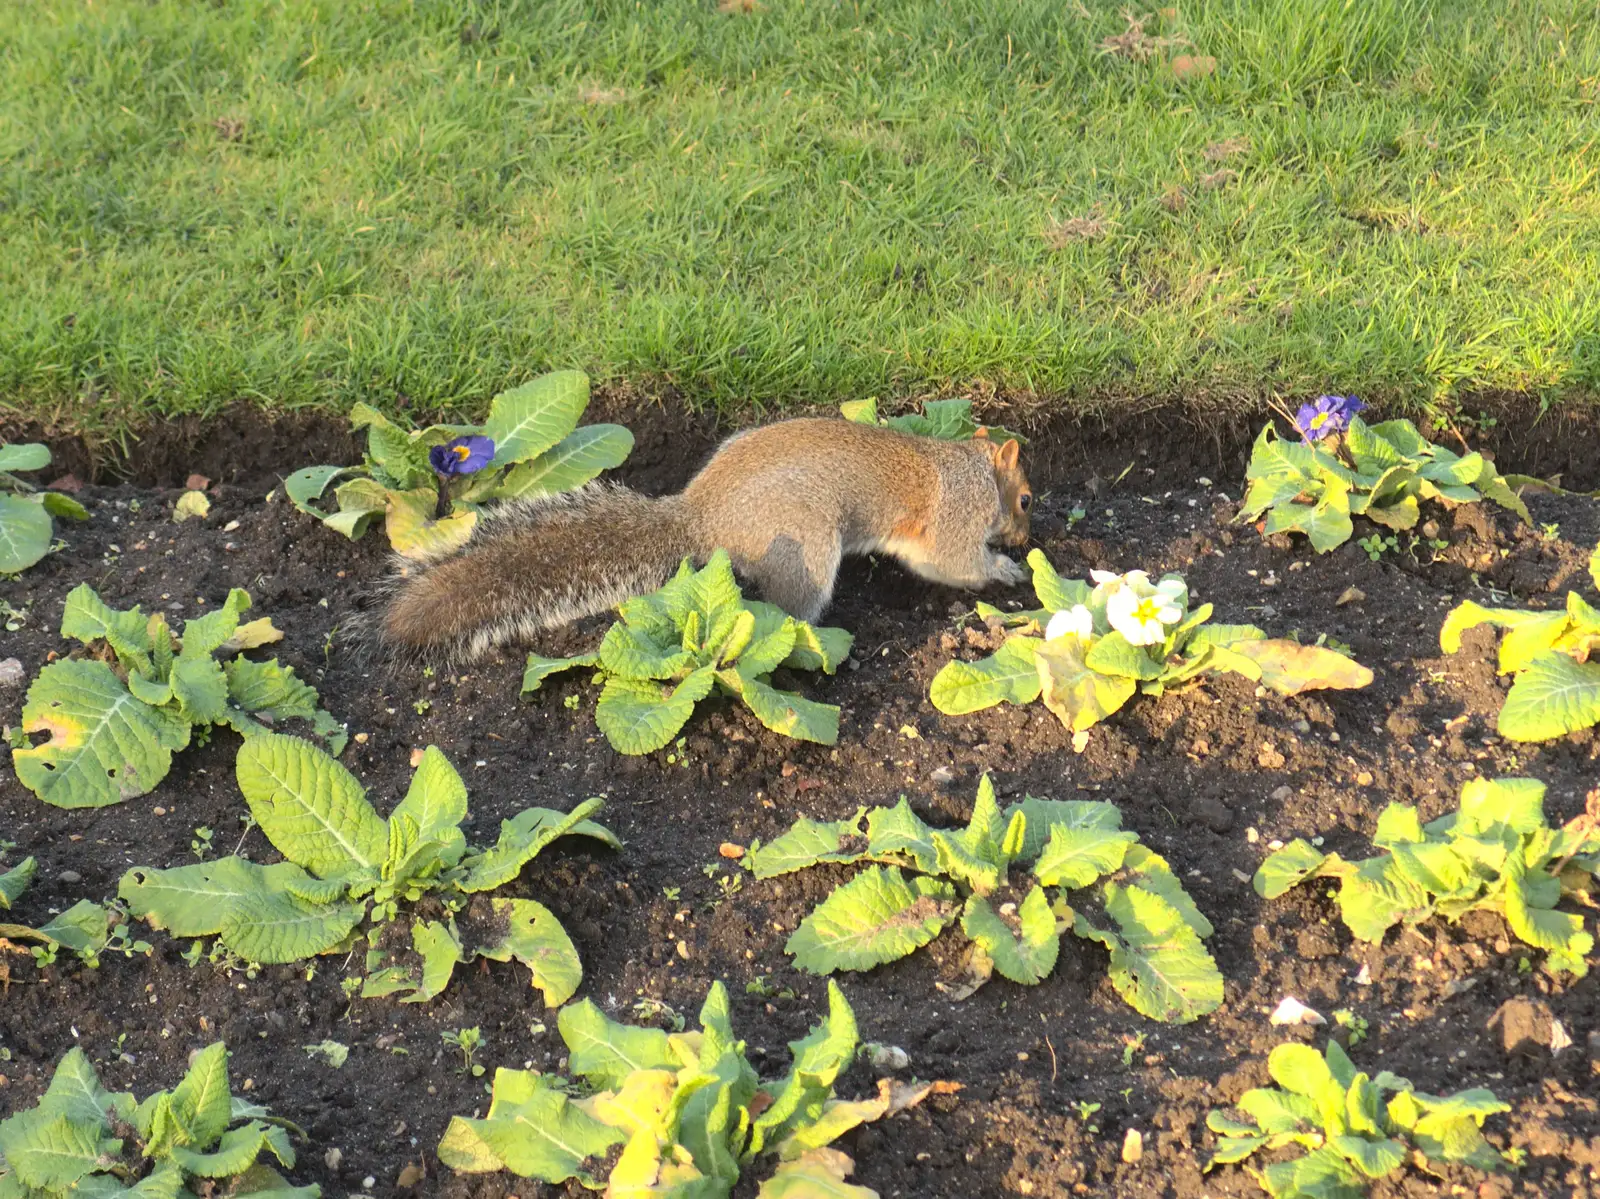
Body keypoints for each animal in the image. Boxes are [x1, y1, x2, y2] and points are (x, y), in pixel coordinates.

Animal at [379, 419, 1030, 662]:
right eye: (1025, 499)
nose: (1027, 536)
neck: (971, 465)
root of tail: (700, 518)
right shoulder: (956, 516)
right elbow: (952, 563)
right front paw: (1005, 569)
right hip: (804, 545)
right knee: (788, 609)